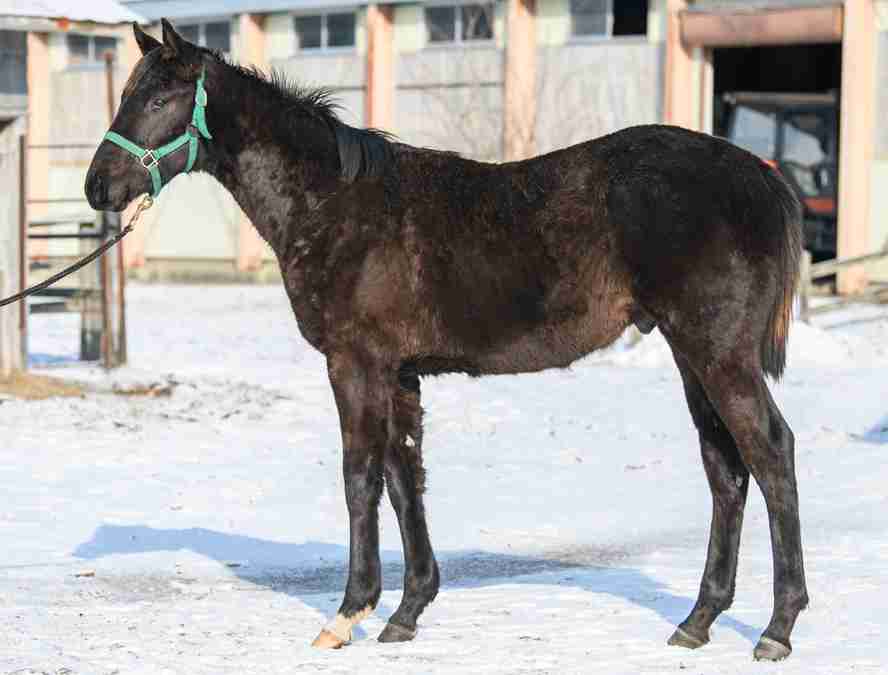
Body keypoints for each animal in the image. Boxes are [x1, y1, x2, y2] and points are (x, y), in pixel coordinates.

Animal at [85, 20, 808, 661]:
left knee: (770, 454)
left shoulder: (356, 364)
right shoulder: (399, 372)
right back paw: (698, 619)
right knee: (726, 470)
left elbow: (360, 478)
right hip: (692, 358)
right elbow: (405, 477)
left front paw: (347, 613)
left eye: (157, 99)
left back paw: (776, 628)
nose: (98, 186)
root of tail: (761, 176)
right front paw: (406, 611)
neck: (335, 204)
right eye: (126, 94)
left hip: (719, 355)